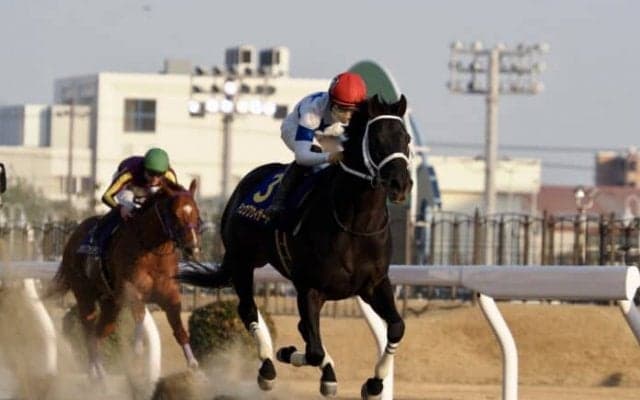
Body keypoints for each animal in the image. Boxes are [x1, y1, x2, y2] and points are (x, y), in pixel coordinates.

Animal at [51, 179, 203, 379]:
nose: (193, 247)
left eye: (196, 214)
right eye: (176, 214)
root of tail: (73, 237)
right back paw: (94, 371)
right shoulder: (132, 291)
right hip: (84, 294)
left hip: (110, 303)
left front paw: (193, 363)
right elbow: (140, 317)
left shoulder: (170, 296)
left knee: (100, 332)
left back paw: (100, 370)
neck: (153, 250)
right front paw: (137, 350)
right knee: (88, 331)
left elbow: (179, 328)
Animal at [179, 94, 413, 399]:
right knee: (249, 310)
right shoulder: (309, 288)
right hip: (242, 261)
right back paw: (268, 367)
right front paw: (285, 353)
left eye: (406, 138)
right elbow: (313, 351)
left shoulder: (374, 284)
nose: (400, 185)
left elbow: (395, 327)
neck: (357, 224)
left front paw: (374, 384)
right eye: (376, 140)